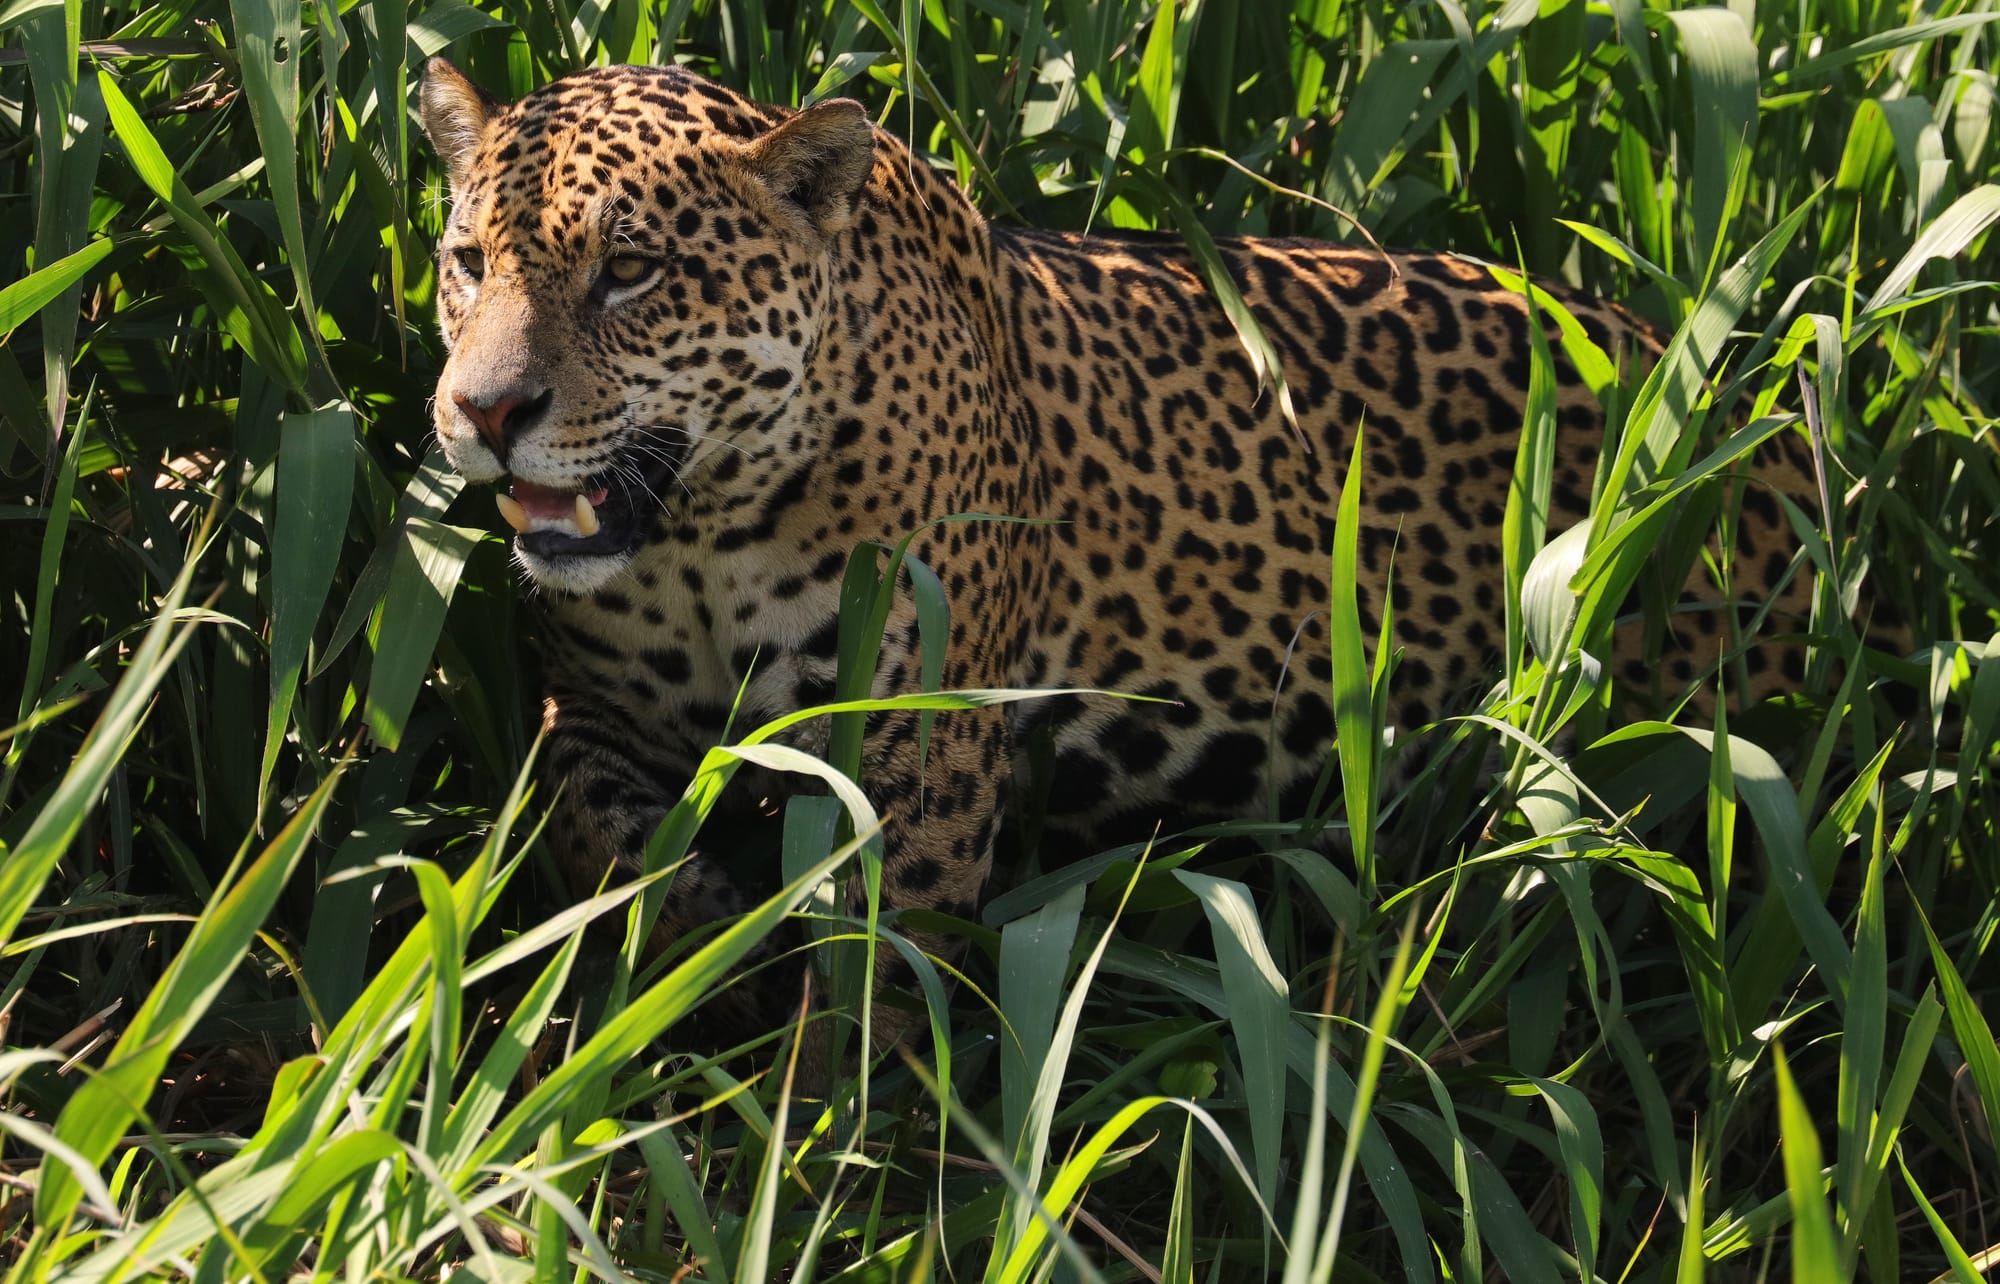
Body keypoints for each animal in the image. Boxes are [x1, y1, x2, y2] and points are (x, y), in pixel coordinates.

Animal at [417, 57, 1825, 1036]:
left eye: (633, 273)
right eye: (468, 261)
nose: (483, 413)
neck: (700, 536)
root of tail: (1745, 421)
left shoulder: (919, 750)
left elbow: (879, 974)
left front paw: (822, 1137)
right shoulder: (588, 700)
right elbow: (598, 830)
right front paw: (704, 933)